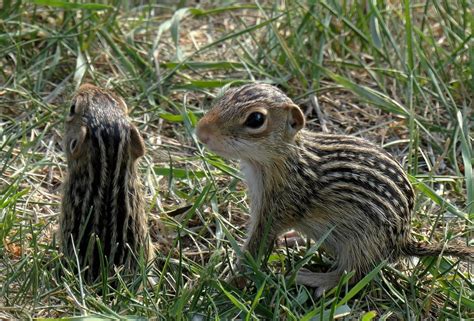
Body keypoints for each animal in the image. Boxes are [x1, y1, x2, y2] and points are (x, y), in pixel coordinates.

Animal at [194, 83, 472, 296]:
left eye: (256, 119)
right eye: (227, 94)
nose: (201, 132)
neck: (282, 160)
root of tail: (403, 241)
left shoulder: (277, 207)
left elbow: (256, 246)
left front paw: (227, 284)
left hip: (361, 242)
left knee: (354, 273)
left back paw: (314, 279)